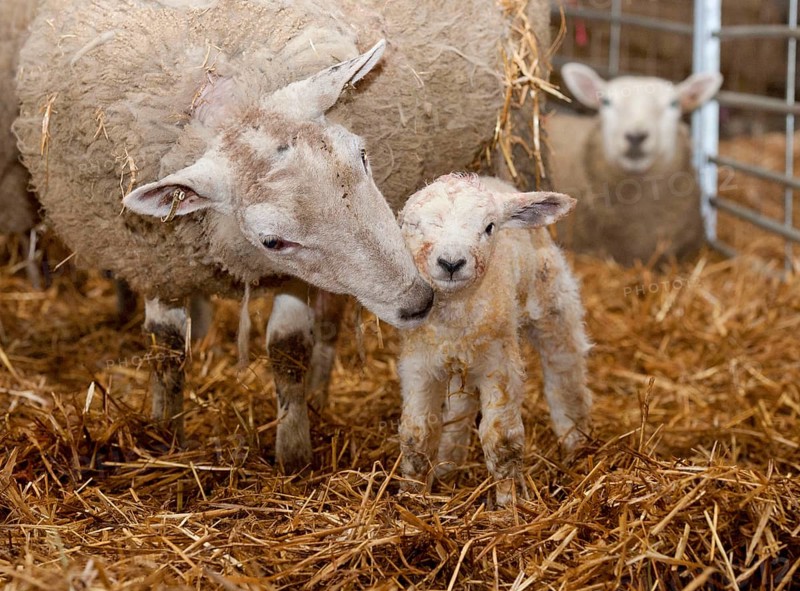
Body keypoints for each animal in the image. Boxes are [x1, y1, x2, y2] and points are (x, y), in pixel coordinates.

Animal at [12, 0, 553, 471]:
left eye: (362, 155)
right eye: (272, 240)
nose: (419, 302)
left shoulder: (291, 280)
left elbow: (288, 350)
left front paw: (292, 451)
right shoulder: (156, 259)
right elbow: (166, 349)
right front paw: (164, 436)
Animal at [397, 174, 592, 506]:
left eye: (489, 227)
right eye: (414, 225)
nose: (451, 263)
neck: (456, 312)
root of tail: (499, 183)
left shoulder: (499, 366)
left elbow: (501, 440)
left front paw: (509, 504)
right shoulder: (419, 366)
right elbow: (417, 434)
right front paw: (412, 495)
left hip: (552, 301)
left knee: (564, 369)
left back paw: (575, 442)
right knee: (460, 407)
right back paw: (449, 463)